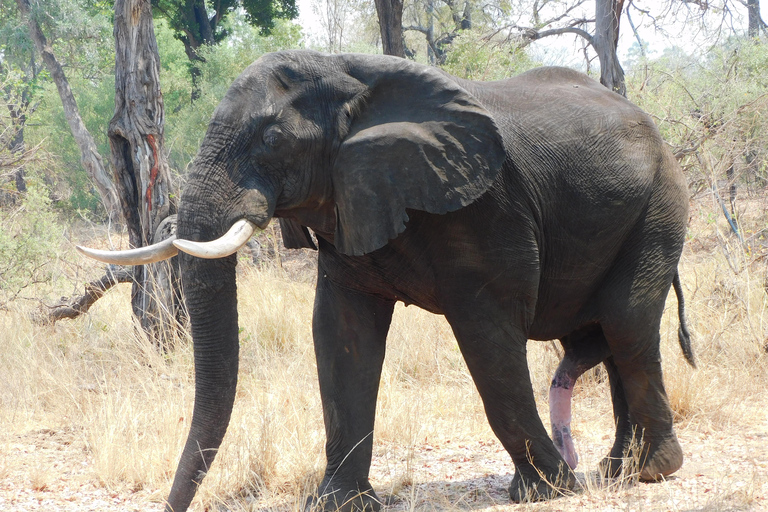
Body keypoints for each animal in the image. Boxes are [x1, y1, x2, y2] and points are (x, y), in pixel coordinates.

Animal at [81, 51, 692, 512]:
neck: (348, 77)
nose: (170, 506)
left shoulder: (484, 207)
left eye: (273, 138)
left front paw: (548, 489)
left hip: (661, 203)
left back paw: (650, 470)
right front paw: (339, 503)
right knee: (601, 334)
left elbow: (487, 337)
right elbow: (341, 334)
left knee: (625, 325)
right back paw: (615, 470)